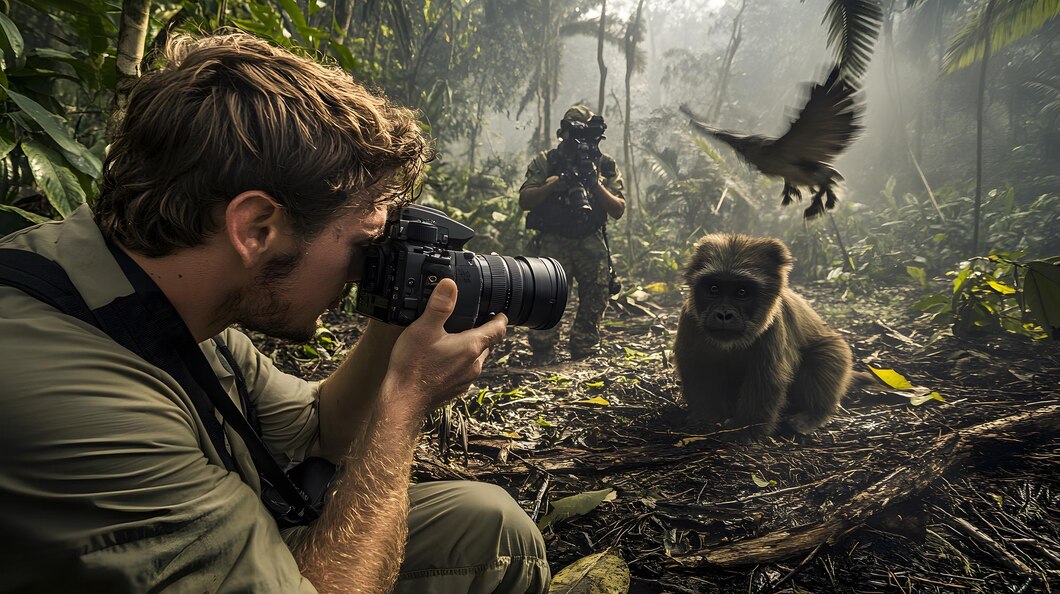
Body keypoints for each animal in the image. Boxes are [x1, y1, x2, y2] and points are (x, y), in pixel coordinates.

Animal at [678, 234, 852, 439]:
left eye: (742, 292)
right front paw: (707, 418)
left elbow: (765, 380)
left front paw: (745, 429)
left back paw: (811, 416)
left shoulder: (773, 328)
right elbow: (698, 371)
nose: (724, 315)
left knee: (825, 354)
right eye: (714, 289)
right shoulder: (689, 320)